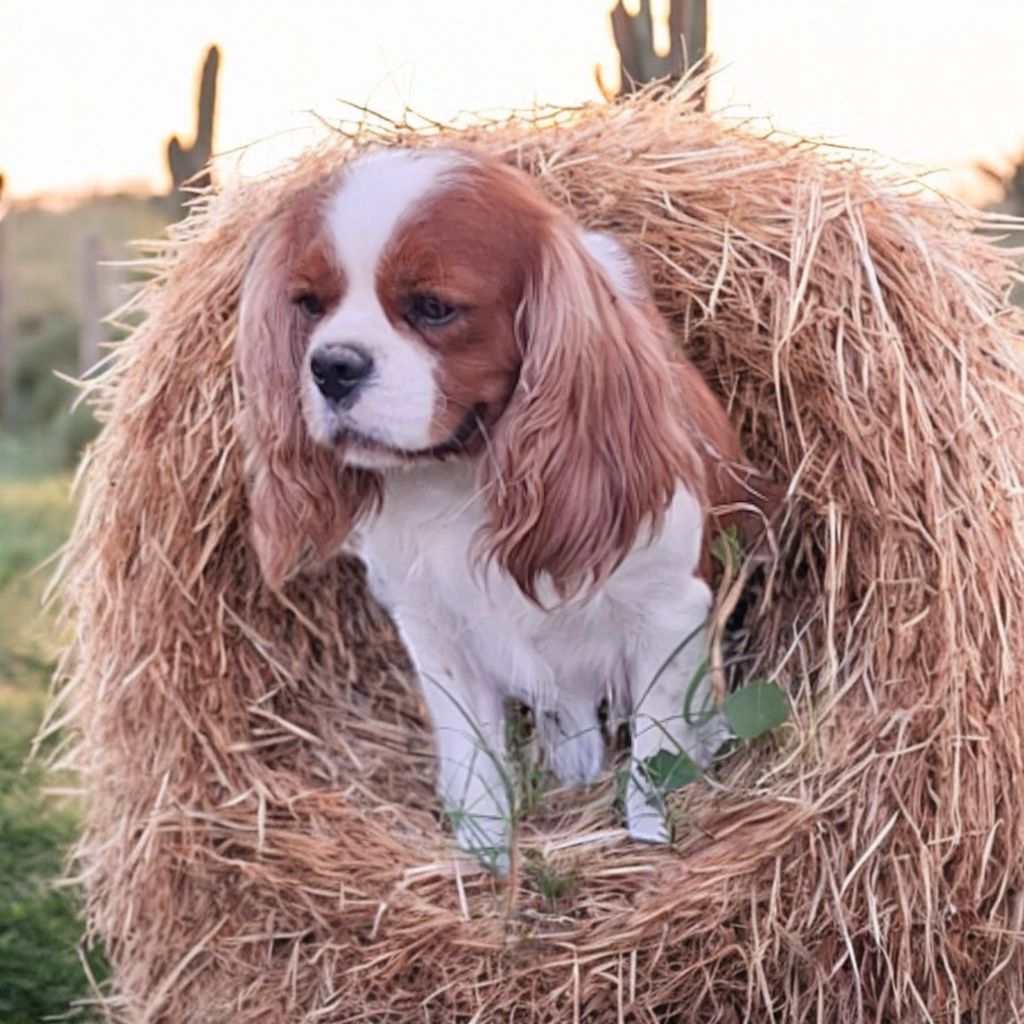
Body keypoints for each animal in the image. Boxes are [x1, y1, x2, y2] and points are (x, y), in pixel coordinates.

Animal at [235, 146, 770, 872]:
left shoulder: (671, 614)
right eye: (310, 305)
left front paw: (649, 840)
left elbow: (655, 754)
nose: (331, 365)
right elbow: (473, 758)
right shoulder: (433, 630)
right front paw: (485, 854)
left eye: (434, 307)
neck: (464, 476)